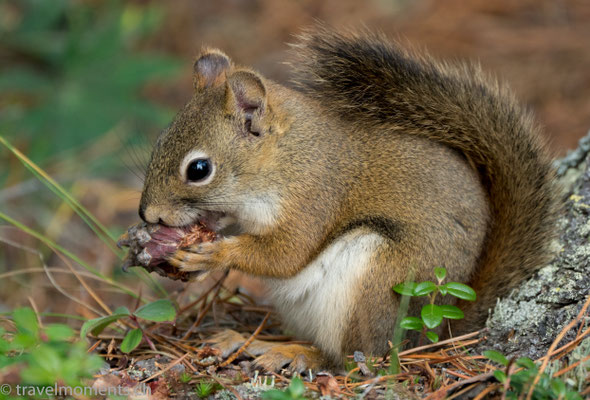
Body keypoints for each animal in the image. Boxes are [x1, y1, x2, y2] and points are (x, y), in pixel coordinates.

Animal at [138, 28, 560, 372]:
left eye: (199, 169)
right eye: (159, 140)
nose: (148, 215)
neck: (287, 157)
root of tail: (439, 331)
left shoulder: (314, 197)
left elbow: (286, 254)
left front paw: (213, 255)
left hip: (376, 281)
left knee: (357, 358)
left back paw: (294, 354)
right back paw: (250, 341)